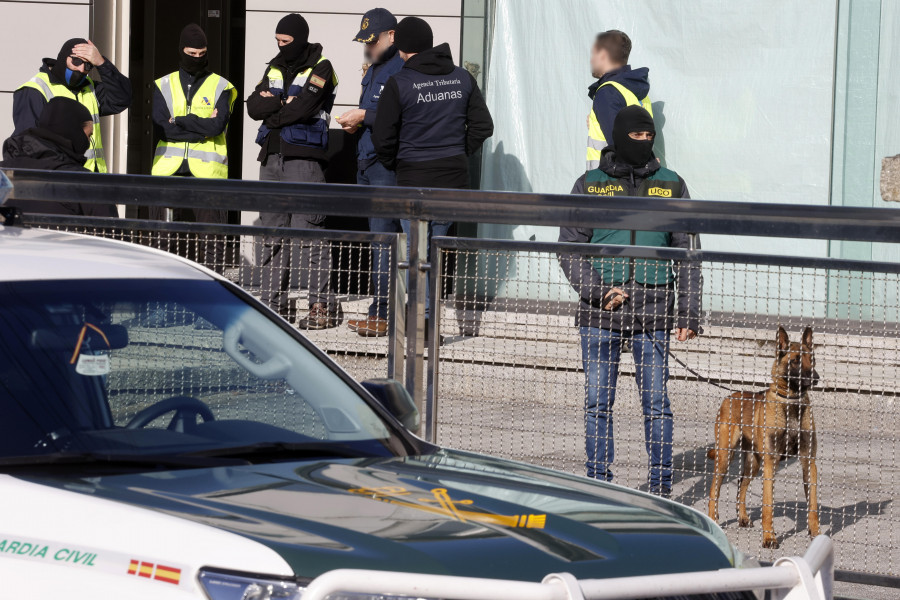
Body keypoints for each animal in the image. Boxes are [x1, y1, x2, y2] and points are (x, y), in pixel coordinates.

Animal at [708, 328, 828, 548]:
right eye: (796, 360)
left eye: (812, 359)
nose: (816, 378)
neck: (791, 402)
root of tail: (729, 397)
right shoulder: (771, 464)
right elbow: (768, 505)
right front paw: (769, 537)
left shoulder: (809, 463)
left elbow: (813, 504)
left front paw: (815, 533)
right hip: (725, 457)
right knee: (715, 489)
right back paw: (713, 520)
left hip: (753, 463)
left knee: (741, 484)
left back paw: (743, 517)